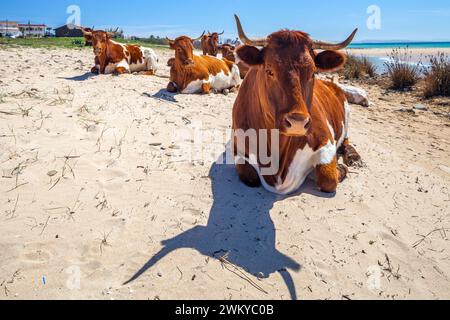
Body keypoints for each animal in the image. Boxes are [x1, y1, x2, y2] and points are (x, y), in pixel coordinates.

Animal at [232, 15, 362, 195]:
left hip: (347, 114)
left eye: (313, 72)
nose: (297, 123)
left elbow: (328, 179)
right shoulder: (238, 147)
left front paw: (340, 168)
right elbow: (249, 176)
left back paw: (353, 157)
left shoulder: (326, 141)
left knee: (347, 141)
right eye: (269, 70)